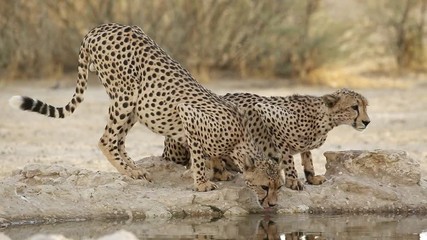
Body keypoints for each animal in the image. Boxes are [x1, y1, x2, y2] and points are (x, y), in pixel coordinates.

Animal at [8, 23, 282, 208]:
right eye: (264, 186)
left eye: (279, 187)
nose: (273, 205)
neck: (240, 138)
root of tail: (99, 28)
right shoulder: (189, 115)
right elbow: (199, 154)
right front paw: (203, 182)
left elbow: (210, 155)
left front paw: (220, 170)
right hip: (126, 96)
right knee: (106, 140)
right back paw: (129, 172)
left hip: (135, 105)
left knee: (119, 140)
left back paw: (135, 170)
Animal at [162, 89, 370, 190]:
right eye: (354, 107)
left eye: (365, 106)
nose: (367, 122)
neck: (325, 119)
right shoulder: (269, 118)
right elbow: (288, 159)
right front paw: (293, 181)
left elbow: (307, 156)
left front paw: (311, 177)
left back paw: (221, 171)